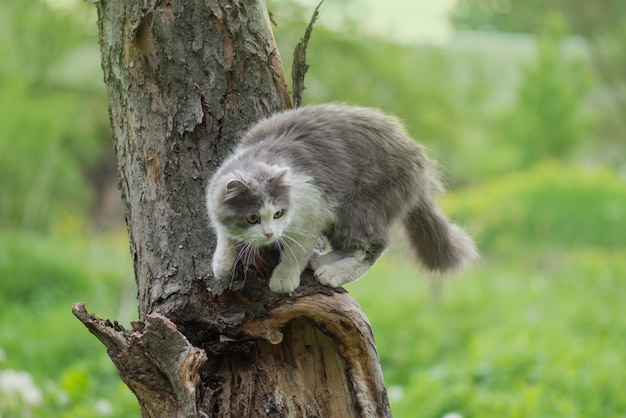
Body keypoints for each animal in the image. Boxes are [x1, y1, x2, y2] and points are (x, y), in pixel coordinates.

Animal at [207, 103, 476, 294]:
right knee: (349, 247)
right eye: (252, 218)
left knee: (373, 247)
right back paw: (321, 261)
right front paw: (221, 263)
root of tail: (416, 155)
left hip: (358, 208)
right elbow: (223, 233)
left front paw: (283, 279)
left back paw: (331, 273)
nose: (270, 234)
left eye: (278, 213)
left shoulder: (313, 212)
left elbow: (295, 252)